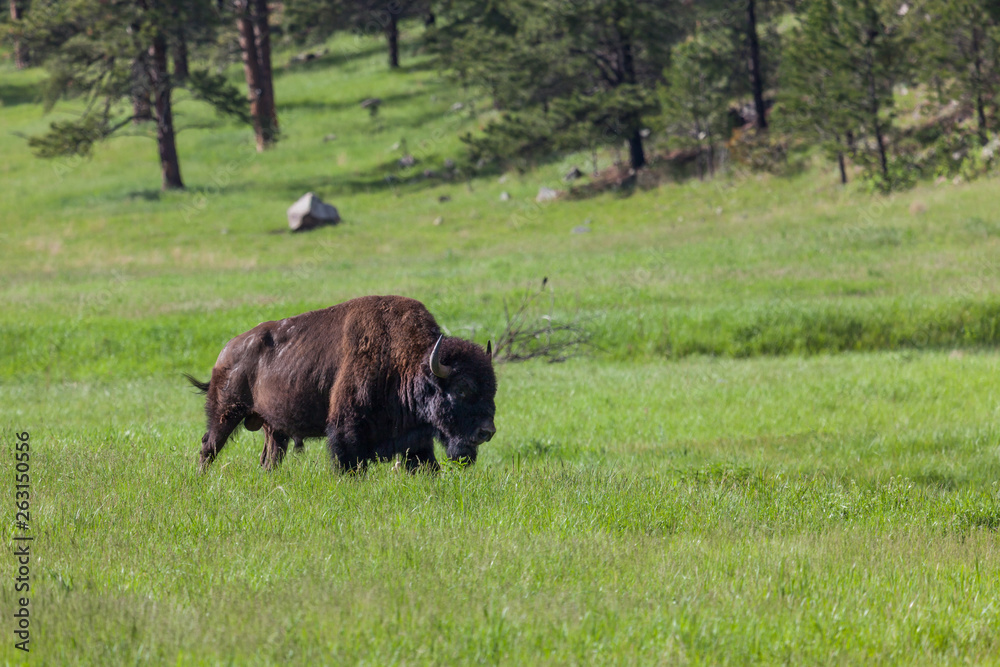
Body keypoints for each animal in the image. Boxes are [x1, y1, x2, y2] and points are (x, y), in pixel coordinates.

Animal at [184, 294, 496, 472]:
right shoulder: (347, 428)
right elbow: (348, 462)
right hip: (225, 413)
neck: (407, 361)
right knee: (209, 446)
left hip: (273, 428)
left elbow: (426, 464)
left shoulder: (415, 439)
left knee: (269, 458)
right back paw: (201, 477)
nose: (487, 432)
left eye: (493, 389)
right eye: (462, 389)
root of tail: (227, 351)